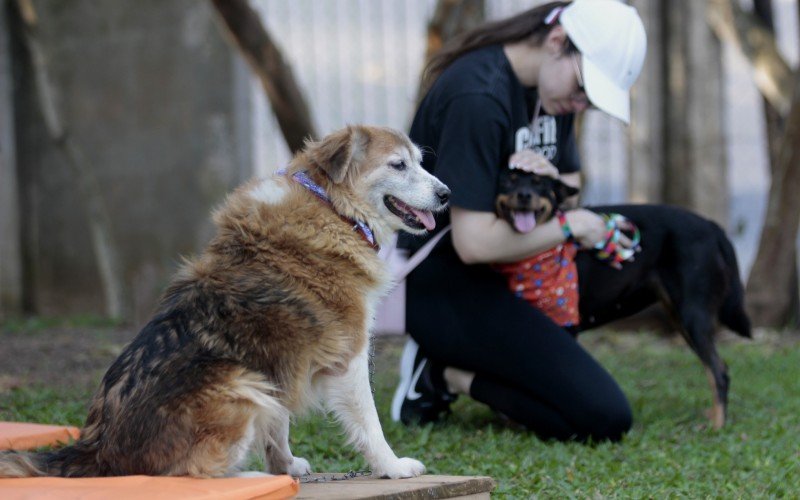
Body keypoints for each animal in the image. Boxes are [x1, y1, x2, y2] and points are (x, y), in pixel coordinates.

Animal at [0, 125, 450, 476]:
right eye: (398, 165)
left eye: (418, 161)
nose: (447, 193)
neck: (333, 208)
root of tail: (96, 448)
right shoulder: (347, 356)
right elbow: (369, 424)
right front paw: (392, 467)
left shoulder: (281, 361)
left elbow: (279, 423)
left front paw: (285, 467)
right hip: (241, 384)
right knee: (188, 473)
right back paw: (244, 477)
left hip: (253, 381)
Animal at [496, 170, 752, 428]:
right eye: (508, 180)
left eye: (540, 183)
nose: (524, 195)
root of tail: (713, 227)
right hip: (679, 315)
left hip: (692, 315)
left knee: (719, 371)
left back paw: (717, 425)